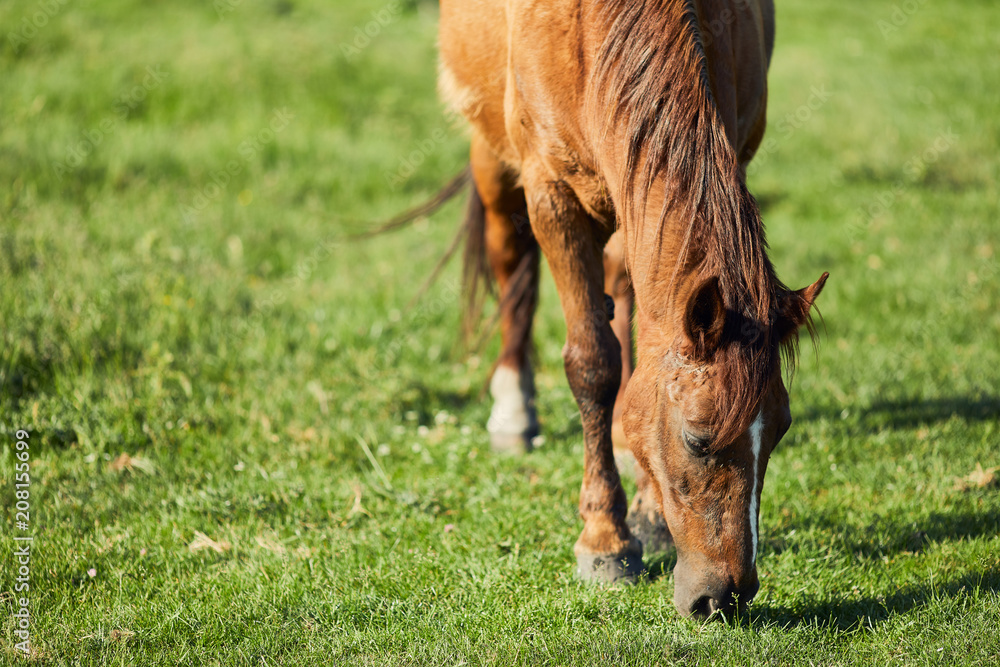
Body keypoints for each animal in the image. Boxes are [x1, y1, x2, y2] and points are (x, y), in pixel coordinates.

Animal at [436, 0, 828, 619]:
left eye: (781, 428)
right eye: (697, 438)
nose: (724, 598)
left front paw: (645, 515)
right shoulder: (553, 197)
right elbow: (591, 364)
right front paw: (605, 542)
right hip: (493, 160)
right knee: (511, 266)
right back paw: (513, 410)